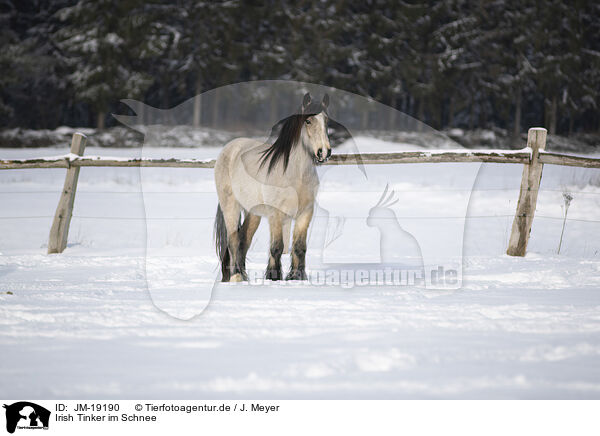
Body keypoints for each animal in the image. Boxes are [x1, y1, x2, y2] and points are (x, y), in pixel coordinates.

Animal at [213, 92, 330, 282]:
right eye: (308, 121)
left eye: (327, 121)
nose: (324, 152)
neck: (295, 175)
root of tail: (230, 147)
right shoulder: (276, 214)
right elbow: (277, 247)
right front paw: (274, 277)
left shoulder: (305, 213)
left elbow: (299, 247)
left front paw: (297, 277)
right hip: (231, 207)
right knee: (234, 240)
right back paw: (236, 276)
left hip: (253, 213)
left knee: (244, 240)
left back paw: (242, 275)